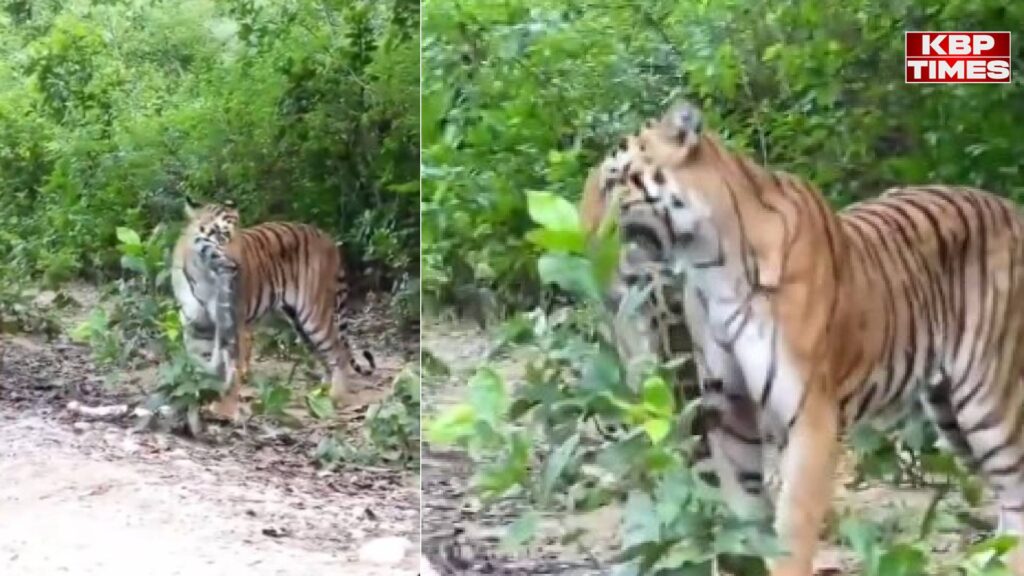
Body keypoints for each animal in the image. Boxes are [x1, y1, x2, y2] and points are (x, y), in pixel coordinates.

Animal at [171, 197, 376, 421]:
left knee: (339, 352)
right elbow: (203, 366)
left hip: (313, 315)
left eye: (237, 234)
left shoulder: (234, 323)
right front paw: (203, 397)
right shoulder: (197, 325)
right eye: (221, 235)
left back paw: (334, 397)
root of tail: (329, 239)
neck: (203, 275)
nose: (238, 264)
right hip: (300, 324)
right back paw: (319, 393)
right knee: (326, 355)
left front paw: (224, 409)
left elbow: (232, 368)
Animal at [580, 100, 1024, 575]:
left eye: (614, 179)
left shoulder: (811, 414)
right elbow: (745, 516)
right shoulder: (727, 408)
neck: (710, 263)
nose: (581, 235)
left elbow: (791, 529)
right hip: (949, 412)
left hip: (987, 401)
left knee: (1016, 490)